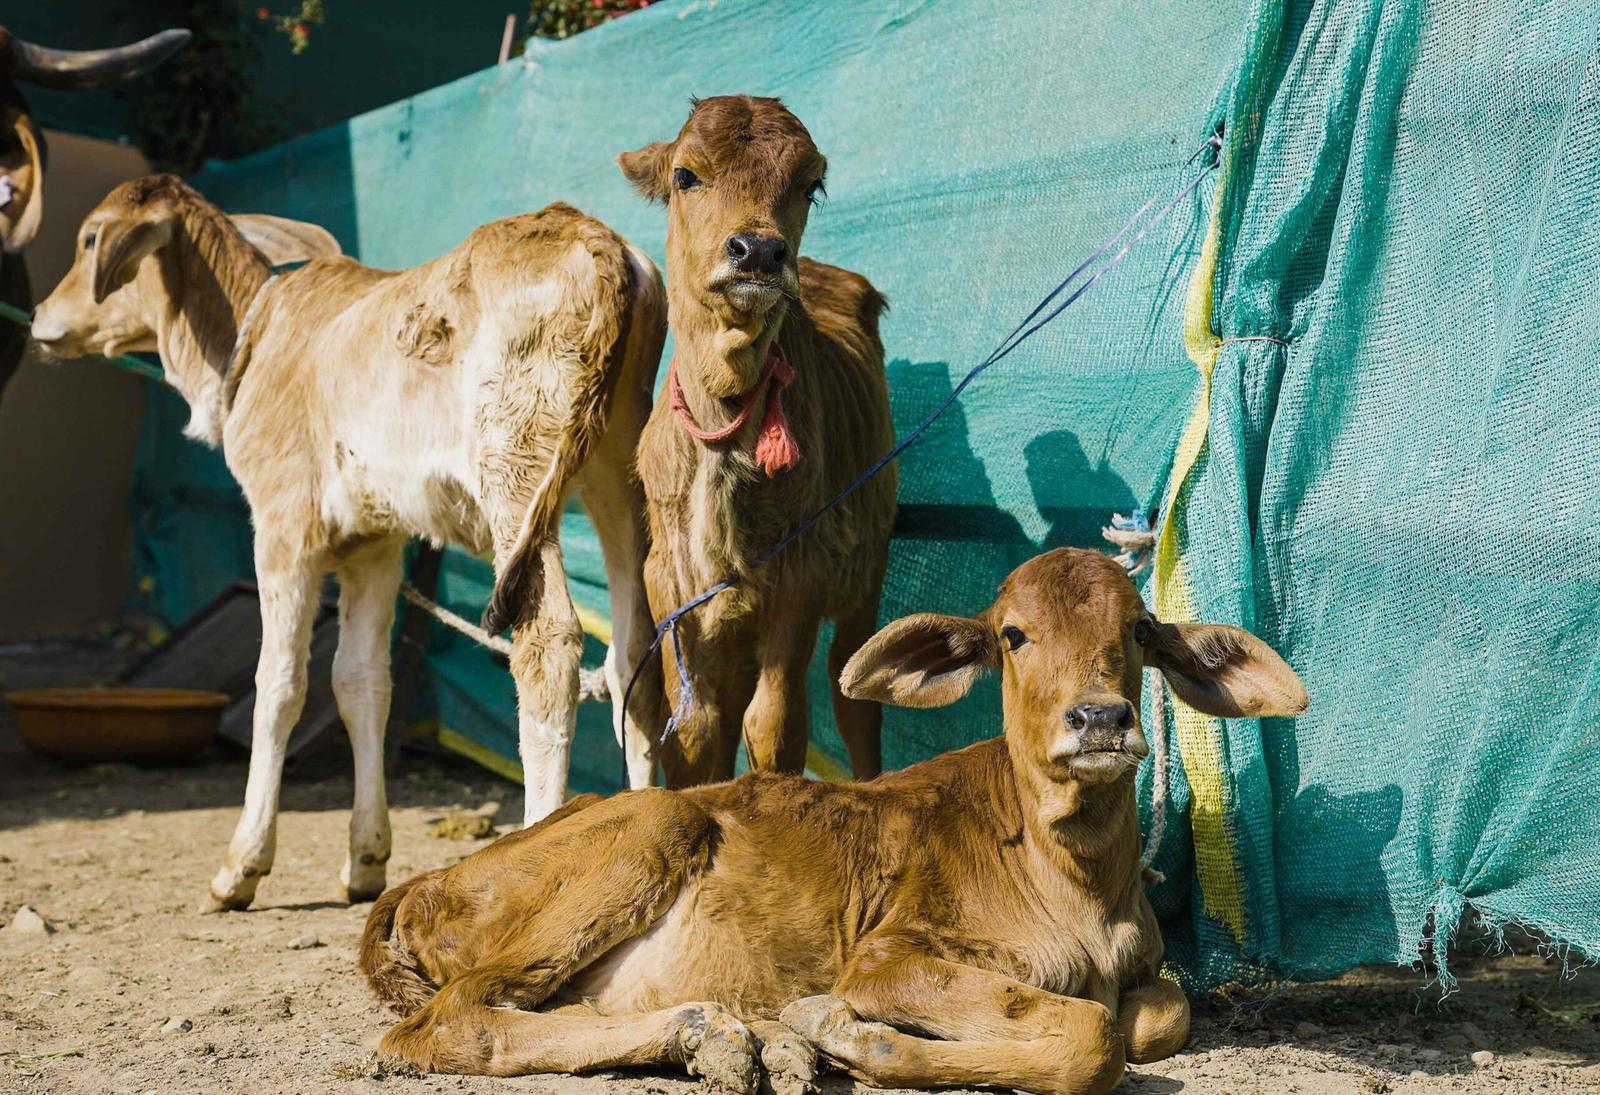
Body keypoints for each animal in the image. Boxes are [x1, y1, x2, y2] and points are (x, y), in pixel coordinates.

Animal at [30, 175, 667, 910]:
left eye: (89, 238)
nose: (40, 316)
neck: (248, 338)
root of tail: (599, 239)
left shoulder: (281, 524)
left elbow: (279, 683)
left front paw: (240, 866)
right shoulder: (374, 543)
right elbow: (362, 681)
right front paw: (365, 860)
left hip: (517, 466)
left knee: (551, 641)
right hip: (620, 461)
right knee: (634, 648)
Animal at [357, 547, 1309, 1094]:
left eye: (1141, 630)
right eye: (1012, 634)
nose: (1102, 718)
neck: (1076, 880)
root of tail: (422, 883)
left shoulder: (1149, 971)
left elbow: (1158, 1014)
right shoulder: (890, 954)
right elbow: (1094, 1035)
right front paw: (848, 1032)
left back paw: (725, 1037)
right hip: (657, 825)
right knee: (451, 1019)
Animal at [616, 96, 897, 786]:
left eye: (808, 184)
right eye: (686, 175)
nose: (760, 251)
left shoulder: (803, 562)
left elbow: (774, 726)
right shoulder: (669, 577)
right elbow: (694, 730)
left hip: (868, 561)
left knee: (855, 693)